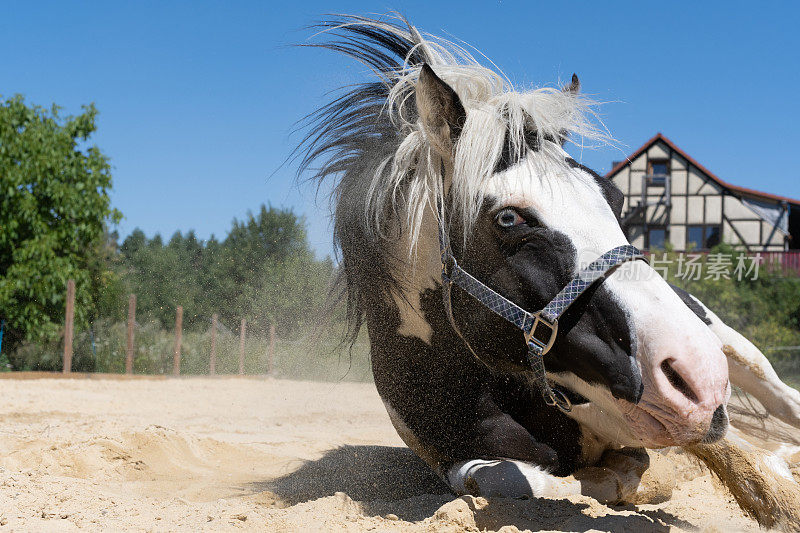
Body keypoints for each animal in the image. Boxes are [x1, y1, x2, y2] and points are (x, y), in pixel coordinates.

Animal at [296, 14, 800, 500]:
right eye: (509, 218)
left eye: (615, 197)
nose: (696, 375)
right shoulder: (454, 461)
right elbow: (514, 478)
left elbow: (728, 458)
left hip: (734, 350)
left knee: (783, 403)